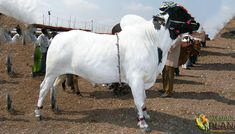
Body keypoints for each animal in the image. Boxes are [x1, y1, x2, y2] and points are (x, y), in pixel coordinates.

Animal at [35, 13, 178, 131]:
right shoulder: (136, 78)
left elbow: (143, 98)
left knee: (54, 86)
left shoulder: (142, 80)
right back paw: (38, 112)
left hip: (62, 72)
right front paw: (142, 123)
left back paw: (55, 107)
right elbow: (139, 100)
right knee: (43, 88)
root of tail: (57, 36)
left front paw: (145, 114)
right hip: (51, 71)